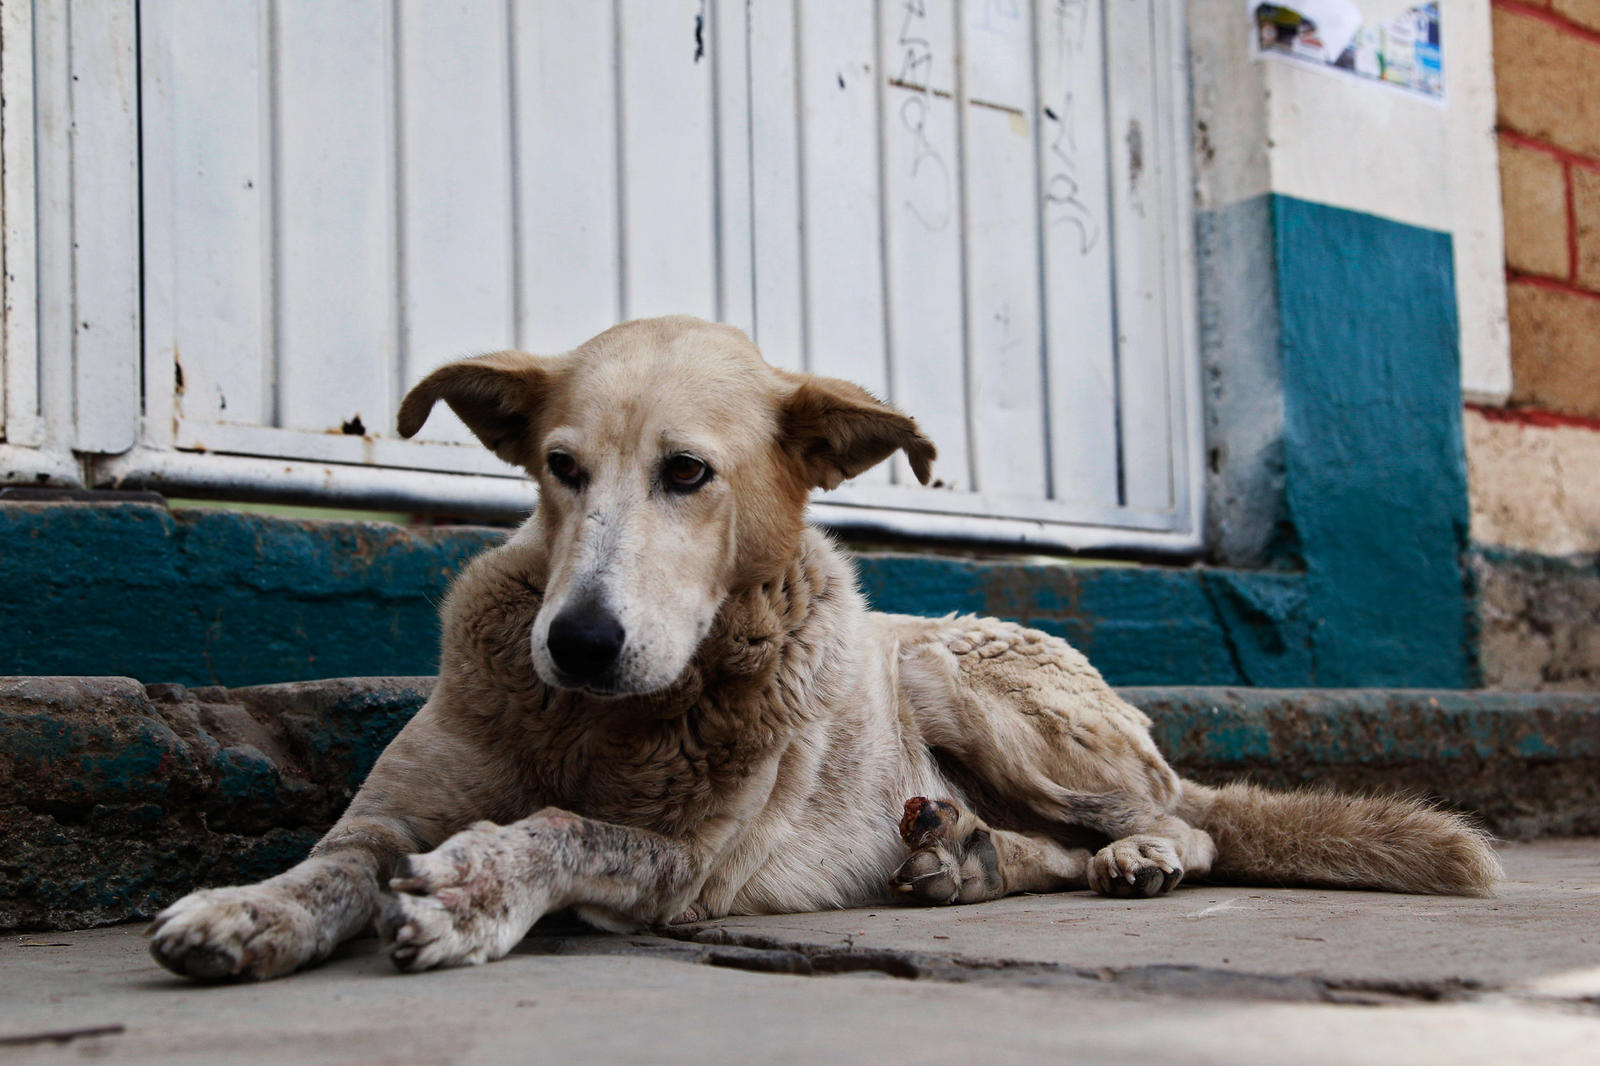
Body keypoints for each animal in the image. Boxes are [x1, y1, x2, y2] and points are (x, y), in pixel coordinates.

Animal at [147, 312, 1497, 973]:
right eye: (560, 467)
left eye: (688, 473)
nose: (576, 641)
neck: (594, 721)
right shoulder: (393, 810)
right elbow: (335, 862)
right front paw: (248, 911)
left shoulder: (683, 867)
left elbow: (564, 828)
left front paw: (478, 886)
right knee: (1050, 847)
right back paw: (969, 860)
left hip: (957, 676)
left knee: (1187, 821)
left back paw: (1138, 854)